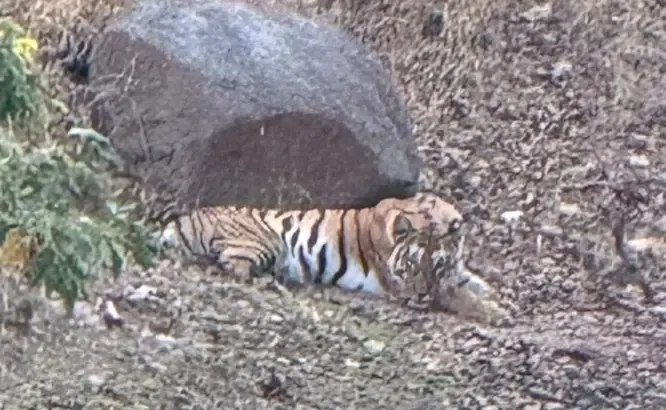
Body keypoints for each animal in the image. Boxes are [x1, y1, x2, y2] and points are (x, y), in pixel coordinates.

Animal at [157, 192, 506, 319]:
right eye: (409, 265)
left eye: (435, 266)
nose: (419, 296)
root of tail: (182, 220)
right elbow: (456, 296)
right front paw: (494, 311)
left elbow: (468, 281)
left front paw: (491, 294)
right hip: (264, 241)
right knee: (230, 264)